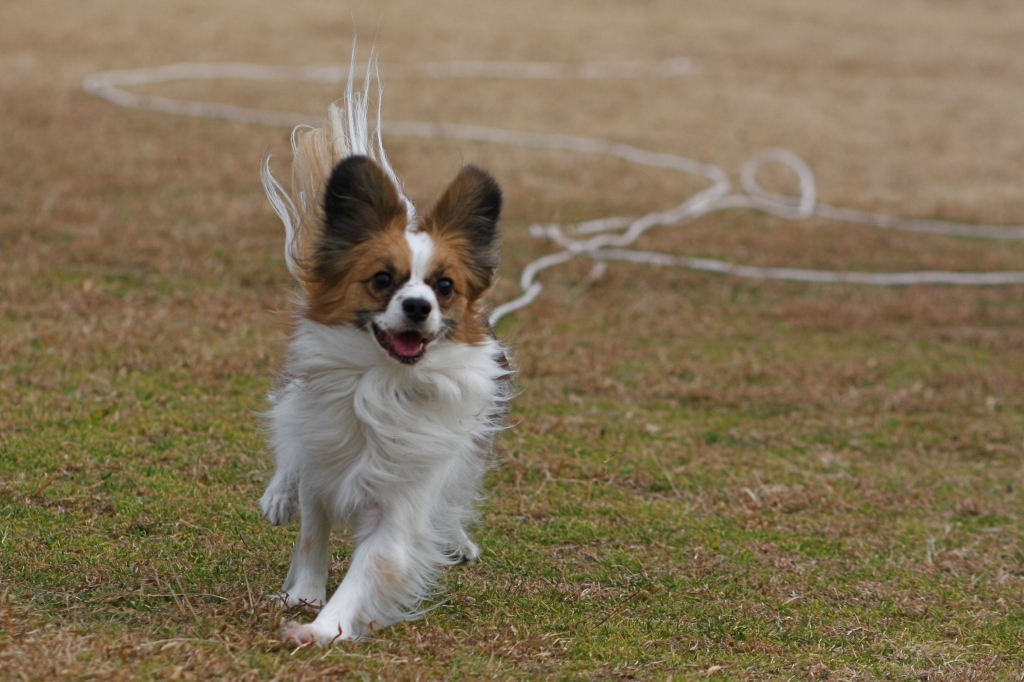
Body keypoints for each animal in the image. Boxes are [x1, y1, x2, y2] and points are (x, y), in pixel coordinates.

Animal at [258, 58, 509, 643]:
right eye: (381, 280)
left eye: (445, 287)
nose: (418, 307)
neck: (383, 383)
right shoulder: (324, 465)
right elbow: (312, 530)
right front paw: (304, 595)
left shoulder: (402, 504)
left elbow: (374, 565)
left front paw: (324, 627)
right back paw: (278, 493)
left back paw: (455, 539)